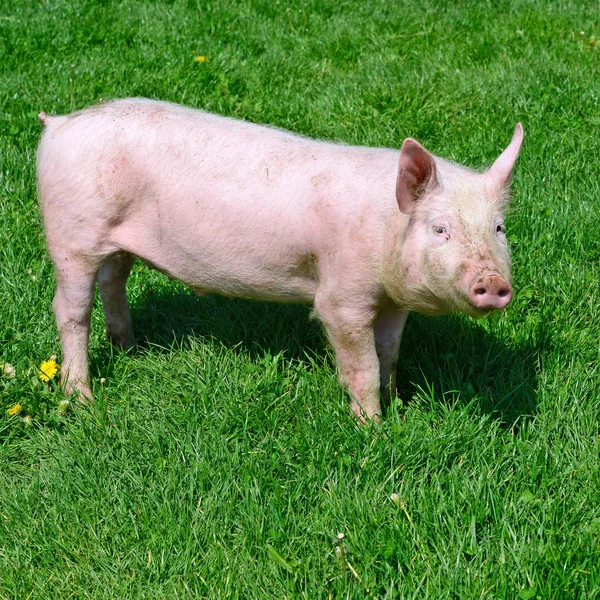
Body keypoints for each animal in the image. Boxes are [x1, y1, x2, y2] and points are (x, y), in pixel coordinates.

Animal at [37, 99, 524, 418]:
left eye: (498, 228)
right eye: (440, 228)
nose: (493, 282)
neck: (387, 227)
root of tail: (58, 124)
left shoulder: (393, 302)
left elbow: (389, 354)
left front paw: (397, 406)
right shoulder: (341, 298)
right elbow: (362, 365)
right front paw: (372, 428)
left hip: (114, 242)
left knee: (112, 282)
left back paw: (132, 348)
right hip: (71, 233)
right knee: (70, 309)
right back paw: (83, 399)